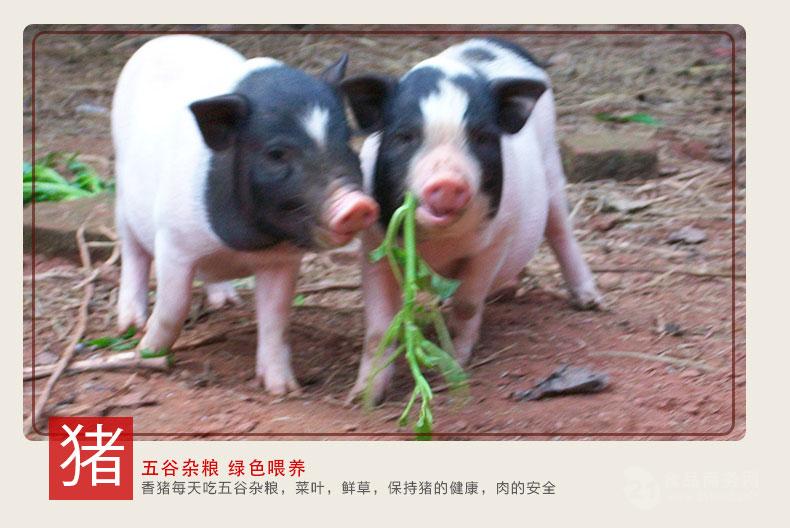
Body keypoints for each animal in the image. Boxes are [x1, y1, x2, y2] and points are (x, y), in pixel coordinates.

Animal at [112, 35, 378, 395]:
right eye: (276, 154)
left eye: (348, 142)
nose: (358, 205)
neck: (244, 245)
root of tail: (165, 39)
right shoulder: (173, 242)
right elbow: (172, 307)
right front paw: (147, 355)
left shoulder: (282, 260)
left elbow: (276, 319)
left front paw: (284, 390)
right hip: (123, 198)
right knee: (132, 254)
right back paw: (130, 324)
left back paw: (226, 303)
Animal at [341, 37, 602, 403]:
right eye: (405, 136)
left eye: (481, 137)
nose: (448, 182)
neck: (441, 244)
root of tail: (495, 41)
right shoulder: (374, 245)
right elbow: (378, 328)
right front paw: (361, 398)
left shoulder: (496, 240)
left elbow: (466, 304)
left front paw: (455, 367)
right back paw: (507, 291)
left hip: (551, 166)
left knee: (560, 228)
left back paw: (590, 302)